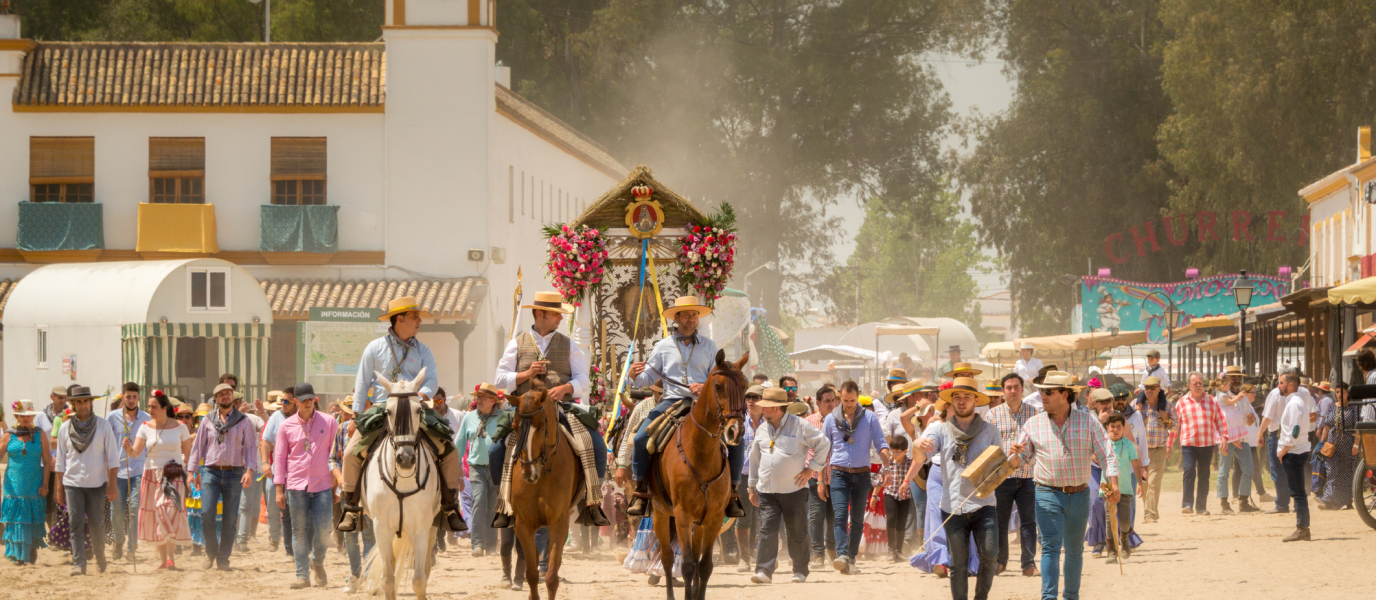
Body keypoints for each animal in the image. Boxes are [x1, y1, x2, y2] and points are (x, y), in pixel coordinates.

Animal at [360, 368, 440, 597]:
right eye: (388, 411)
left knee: (426, 568)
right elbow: (387, 579)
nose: (405, 459)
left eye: (418, 410)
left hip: (433, 525)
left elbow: (420, 580)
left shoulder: (421, 527)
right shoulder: (381, 528)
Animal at [511, 382, 586, 600]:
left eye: (542, 426)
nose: (529, 472)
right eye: (514, 427)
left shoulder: (558, 522)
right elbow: (532, 574)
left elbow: (552, 576)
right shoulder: (523, 525)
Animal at [649, 349, 748, 600]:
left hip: (699, 523)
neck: (701, 454)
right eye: (718, 386)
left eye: (745, 385)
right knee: (666, 558)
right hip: (660, 513)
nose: (735, 431)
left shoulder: (713, 518)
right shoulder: (682, 516)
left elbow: (704, 566)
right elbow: (687, 565)